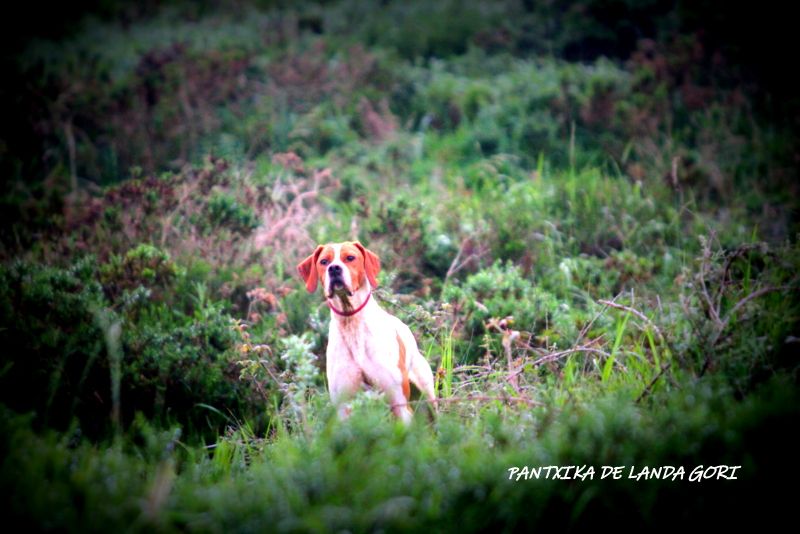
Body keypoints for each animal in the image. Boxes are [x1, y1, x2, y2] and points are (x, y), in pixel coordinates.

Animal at [298, 242, 438, 422]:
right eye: (324, 261)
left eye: (350, 257)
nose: (334, 268)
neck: (351, 322)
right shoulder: (343, 407)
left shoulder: (399, 402)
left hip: (428, 396)